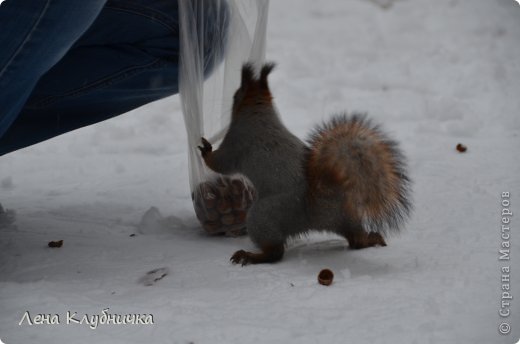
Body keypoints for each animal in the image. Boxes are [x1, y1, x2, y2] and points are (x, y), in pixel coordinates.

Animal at [198, 63, 410, 264]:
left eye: (236, 94)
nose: (233, 98)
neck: (260, 110)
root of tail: (317, 206)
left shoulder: (236, 140)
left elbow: (220, 163)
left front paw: (206, 150)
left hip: (263, 215)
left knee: (276, 252)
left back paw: (250, 256)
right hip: (345, 215)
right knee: (355, 238)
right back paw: (372, 239)